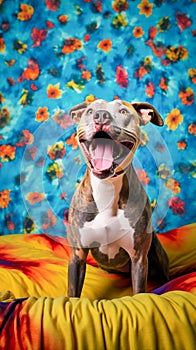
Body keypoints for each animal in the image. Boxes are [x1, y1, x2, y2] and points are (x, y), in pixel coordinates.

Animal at [67, 99, 168, 298]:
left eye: (123, 111)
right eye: (90, 111)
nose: (101, 115)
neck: (107, 187)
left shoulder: (139, 259)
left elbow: (139, 292)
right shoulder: (77, 256)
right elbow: (73, 293)